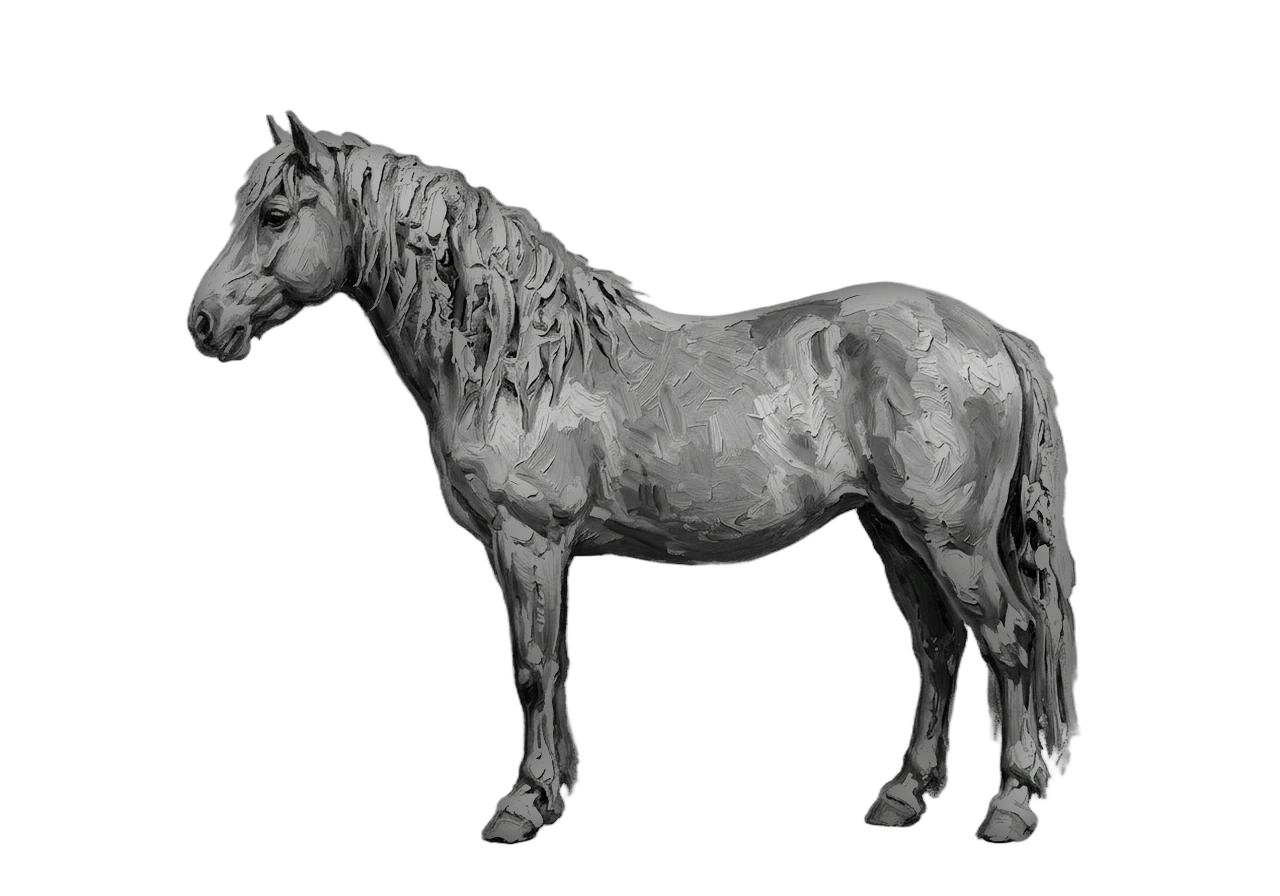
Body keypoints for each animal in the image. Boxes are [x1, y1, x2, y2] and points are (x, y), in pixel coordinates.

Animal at [187, 113, 1079, 845]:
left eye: (274, 215)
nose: (203, 320)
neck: (519, 363)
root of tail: (991, 336)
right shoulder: (541, 552)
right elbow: (552, 665)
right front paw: (550, 797)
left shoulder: (529, 540)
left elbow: (533, 668)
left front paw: (520, 807)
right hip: (892, 530)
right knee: (937, 645)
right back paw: (903, 797)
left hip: (951, 539)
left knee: (1012, 641)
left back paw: (1010, 807)